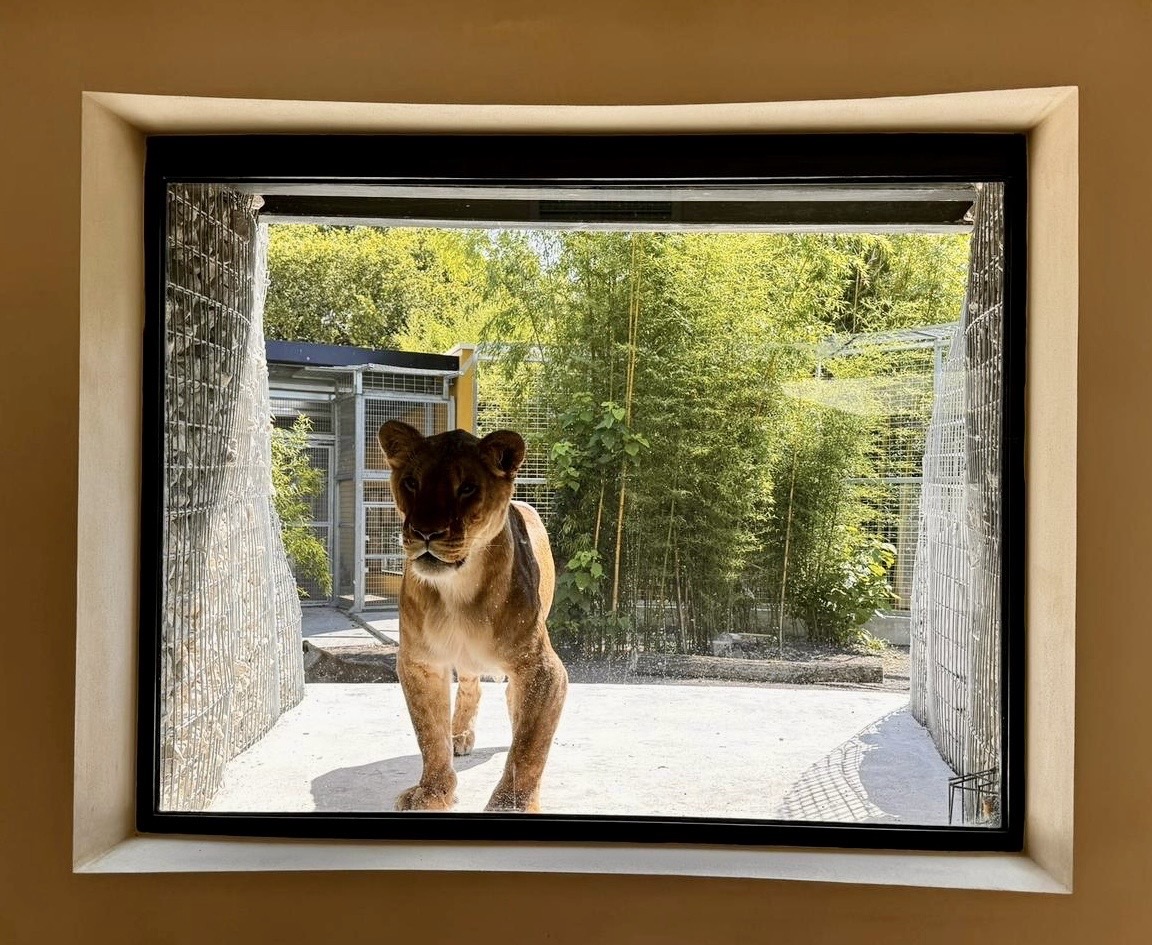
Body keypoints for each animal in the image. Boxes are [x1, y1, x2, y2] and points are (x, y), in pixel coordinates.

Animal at [377, 419, 568, 813]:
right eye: (412, 483)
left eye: (467, 488)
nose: (425, 532)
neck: (458, 592)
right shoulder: (420, 662)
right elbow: (429, 733)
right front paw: (432, 793)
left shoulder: (542, 670)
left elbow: (529, 746)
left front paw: (512, 805)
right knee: (470, 687)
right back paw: (460, 734)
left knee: (512, 704)